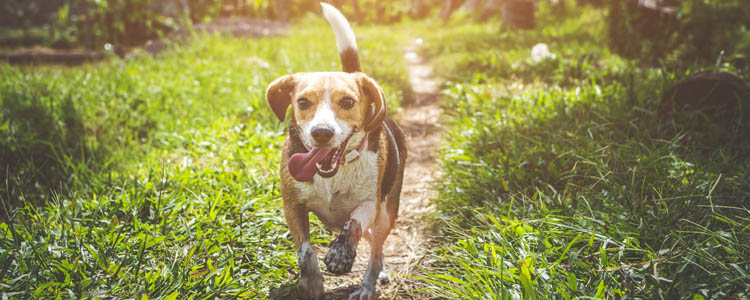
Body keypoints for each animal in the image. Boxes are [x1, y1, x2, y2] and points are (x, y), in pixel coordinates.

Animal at [264, 2, 406, 300]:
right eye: (302, 102)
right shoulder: (292, 205)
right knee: (373, 246)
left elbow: (353, 224)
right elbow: (305, 252)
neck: (334, 174)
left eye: (348, 102)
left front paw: (341, 254)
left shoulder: (369, 204)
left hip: (386, 214)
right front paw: (312, 283)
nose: (322, 133)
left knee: (375, 249)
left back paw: (367, 285)